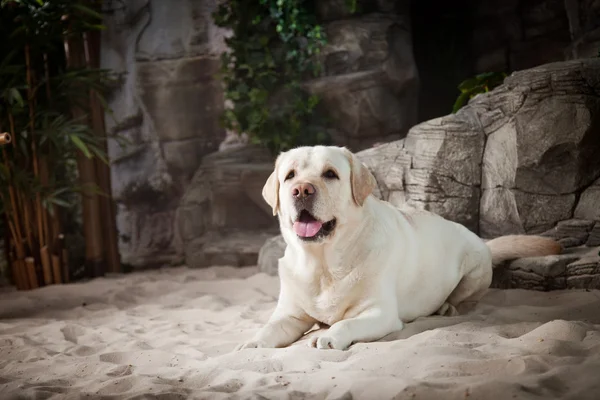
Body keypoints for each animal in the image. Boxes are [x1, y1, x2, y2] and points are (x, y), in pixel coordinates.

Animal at [238, 145, 564, 350]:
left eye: (330, 174)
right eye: (290, 176)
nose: (301, 190)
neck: (324, 264)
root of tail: (482, 242)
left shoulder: (379, 313)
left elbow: (345, 325)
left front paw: (330, 336)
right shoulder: (289, 314)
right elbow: (269, 327)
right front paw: (254, 341)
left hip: (475, 271)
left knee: (466, 300)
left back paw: (447, 307)